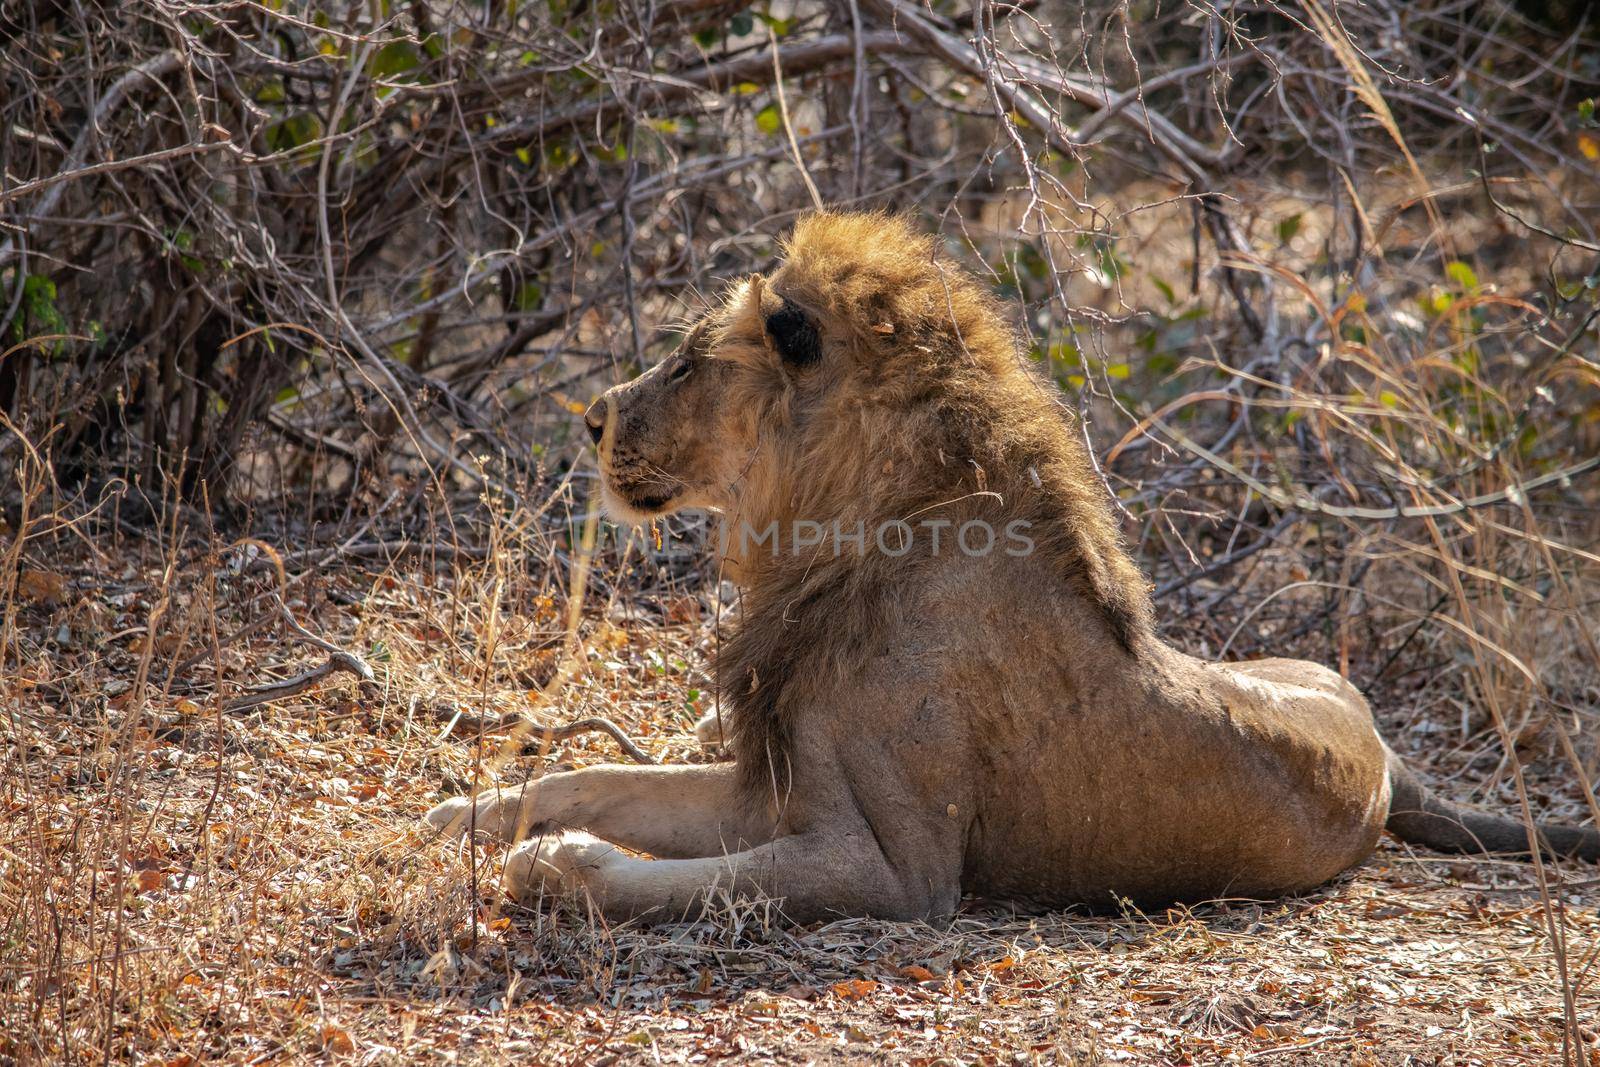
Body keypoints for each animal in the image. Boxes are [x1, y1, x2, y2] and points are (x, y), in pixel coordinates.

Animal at [425, 211, 1600, 927]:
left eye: (682, 363)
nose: (588, 419)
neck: (836, 531)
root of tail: (1388, 752)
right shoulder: (781, 786)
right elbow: (596, 774)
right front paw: (469, 812)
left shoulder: (896, 872)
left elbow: (674, 880)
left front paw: (549, 861)